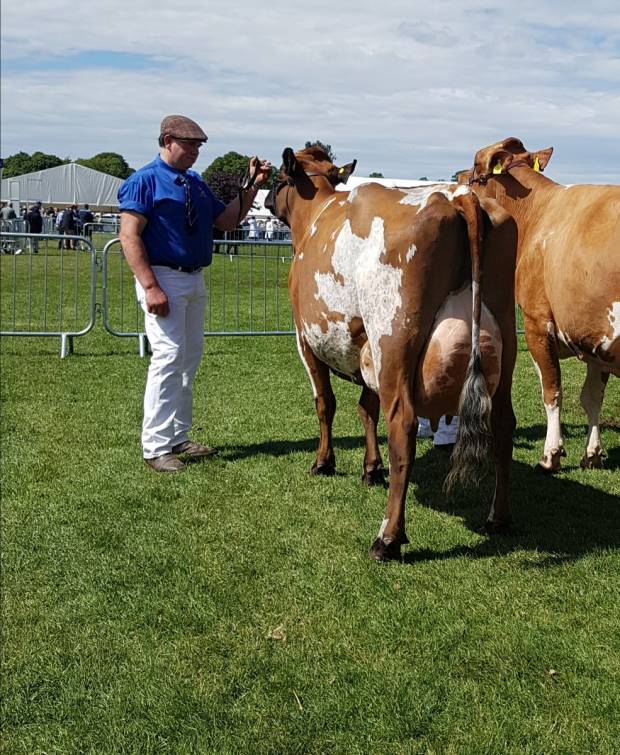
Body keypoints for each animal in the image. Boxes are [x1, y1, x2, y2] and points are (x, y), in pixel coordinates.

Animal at [266, 149, 520, 560]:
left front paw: (324, 462)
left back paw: (388, 537)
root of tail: (460, 196)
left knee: (403, 427)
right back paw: (498, 518)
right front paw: (371, 469)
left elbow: (326, 404)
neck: (315, 214)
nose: (269, 199)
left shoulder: (306, 340)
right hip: (504, 342)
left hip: (393, 341)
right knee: (502, 425)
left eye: (278, 179)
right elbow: (366, 408)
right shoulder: (363, 346)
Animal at [468, 140, 616, 472]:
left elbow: (552, 392)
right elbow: (592, 396)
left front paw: (551, 455)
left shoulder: (537, 324)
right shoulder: (593, 336)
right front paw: (592, 453)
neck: (537, 216)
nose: (458, 179)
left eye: (474, 170)